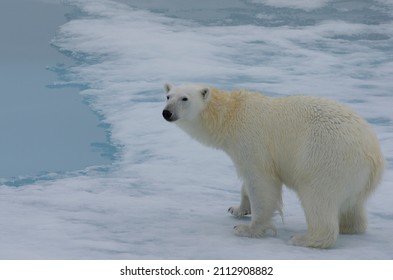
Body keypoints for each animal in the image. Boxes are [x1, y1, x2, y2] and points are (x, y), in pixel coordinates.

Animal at [162, 83, 382, 249]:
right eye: (168, 96)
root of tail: (374, 154)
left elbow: (261, 181)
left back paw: (303, 239)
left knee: (317, 197)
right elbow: (247, 183)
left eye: (184, 98)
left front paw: (247, 229)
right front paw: (237, 209)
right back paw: (347, 226)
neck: (230, 115)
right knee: (352, 207)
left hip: (325, 158)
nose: (167, 112)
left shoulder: (251, 141)